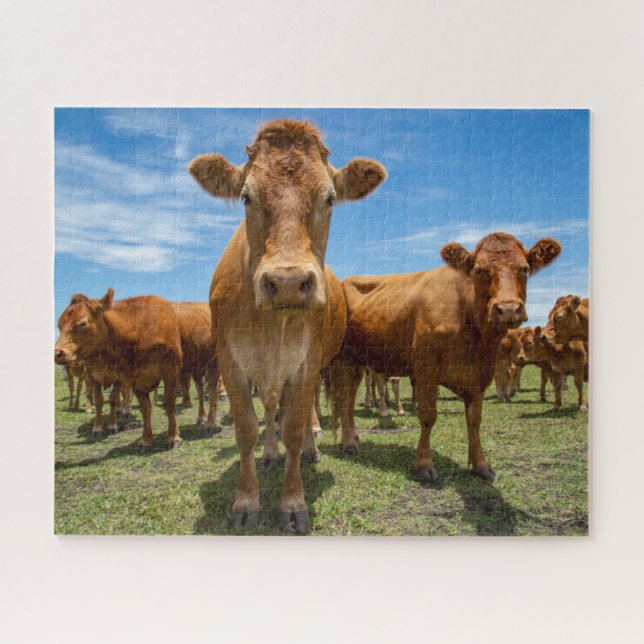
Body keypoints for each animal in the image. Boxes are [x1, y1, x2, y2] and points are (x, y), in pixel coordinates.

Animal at [54, 290, 183, 450]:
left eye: (83, 323)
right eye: (59, 325)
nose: (57, 353)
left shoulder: (170, 371)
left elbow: (169, 404)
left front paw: (173, 437)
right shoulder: (123, 377)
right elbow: (140, 407)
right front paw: (146, 440)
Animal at [189, 118, 386, 532]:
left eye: (330, 198)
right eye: (246, 197)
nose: (288, 282)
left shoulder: (308, 363)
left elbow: (294, 427)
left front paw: (293, 502)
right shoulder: (230, 362)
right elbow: (247, 428)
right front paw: (247, 502)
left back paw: (311, 448)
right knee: (269, 410)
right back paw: (269, 454)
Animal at [328, 232, 561, 482]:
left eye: (525, 269)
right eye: (478, 270)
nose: (508, 309)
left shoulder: (480, 376)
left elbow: (474, 420)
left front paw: (481, 465)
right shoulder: (426, 371)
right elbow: (428, 416)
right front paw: (424, 464)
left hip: (357, 362)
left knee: (349, 399)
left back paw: (352, 437)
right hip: (342, 360)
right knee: (343, 399)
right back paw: (349, 442)